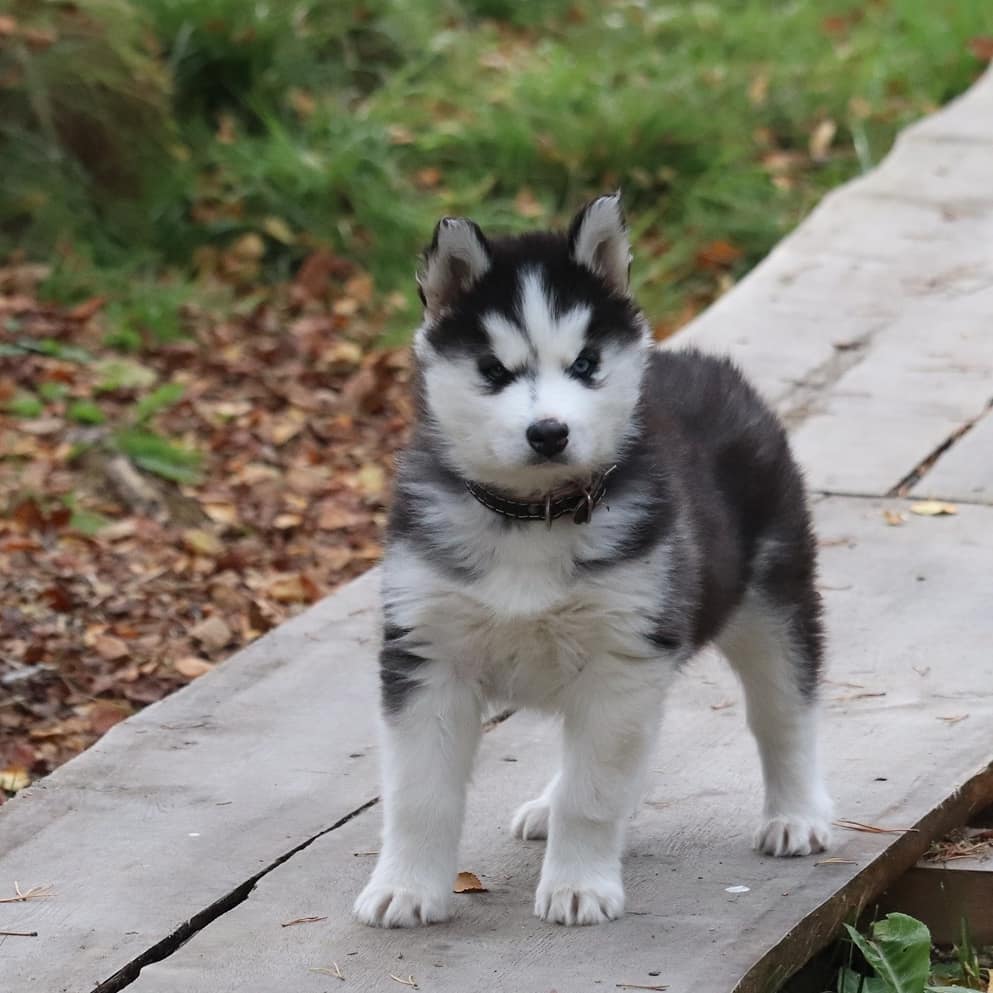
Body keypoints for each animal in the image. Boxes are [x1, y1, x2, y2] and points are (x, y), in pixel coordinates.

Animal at [352, 194, 832, 928]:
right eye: (493, 370)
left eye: (584, 364)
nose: (548, 432)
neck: (531, 517)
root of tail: (704, 361)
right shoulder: (426, 651)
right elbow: (419, 793)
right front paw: (406, 888)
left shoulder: (622, 655)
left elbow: (595, 791)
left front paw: (579, 885)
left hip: (773, 597)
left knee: (783, 711)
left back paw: (796, 813)